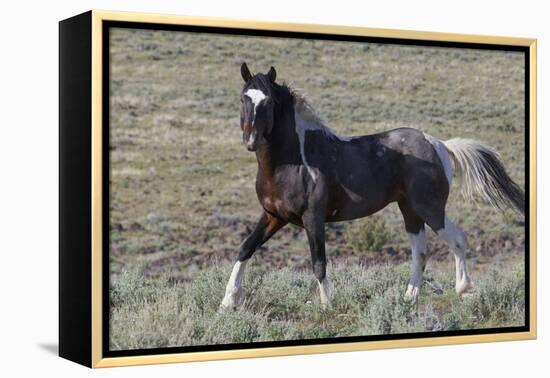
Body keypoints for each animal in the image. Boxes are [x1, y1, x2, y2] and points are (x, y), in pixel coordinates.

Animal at [220, 62, 528, 310]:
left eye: (269, 102)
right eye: (243, 98)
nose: (250, 141)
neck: (291, 162)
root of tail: (439, 144)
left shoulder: (313, 218)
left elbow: (319, 262)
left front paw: (328, 305)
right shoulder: (274, 216)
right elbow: (245, 248)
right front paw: (228, 302)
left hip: (429, 208)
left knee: (457, 239)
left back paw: (463, 290)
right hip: (409, 210)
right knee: (420, 252)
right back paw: (408, 298)